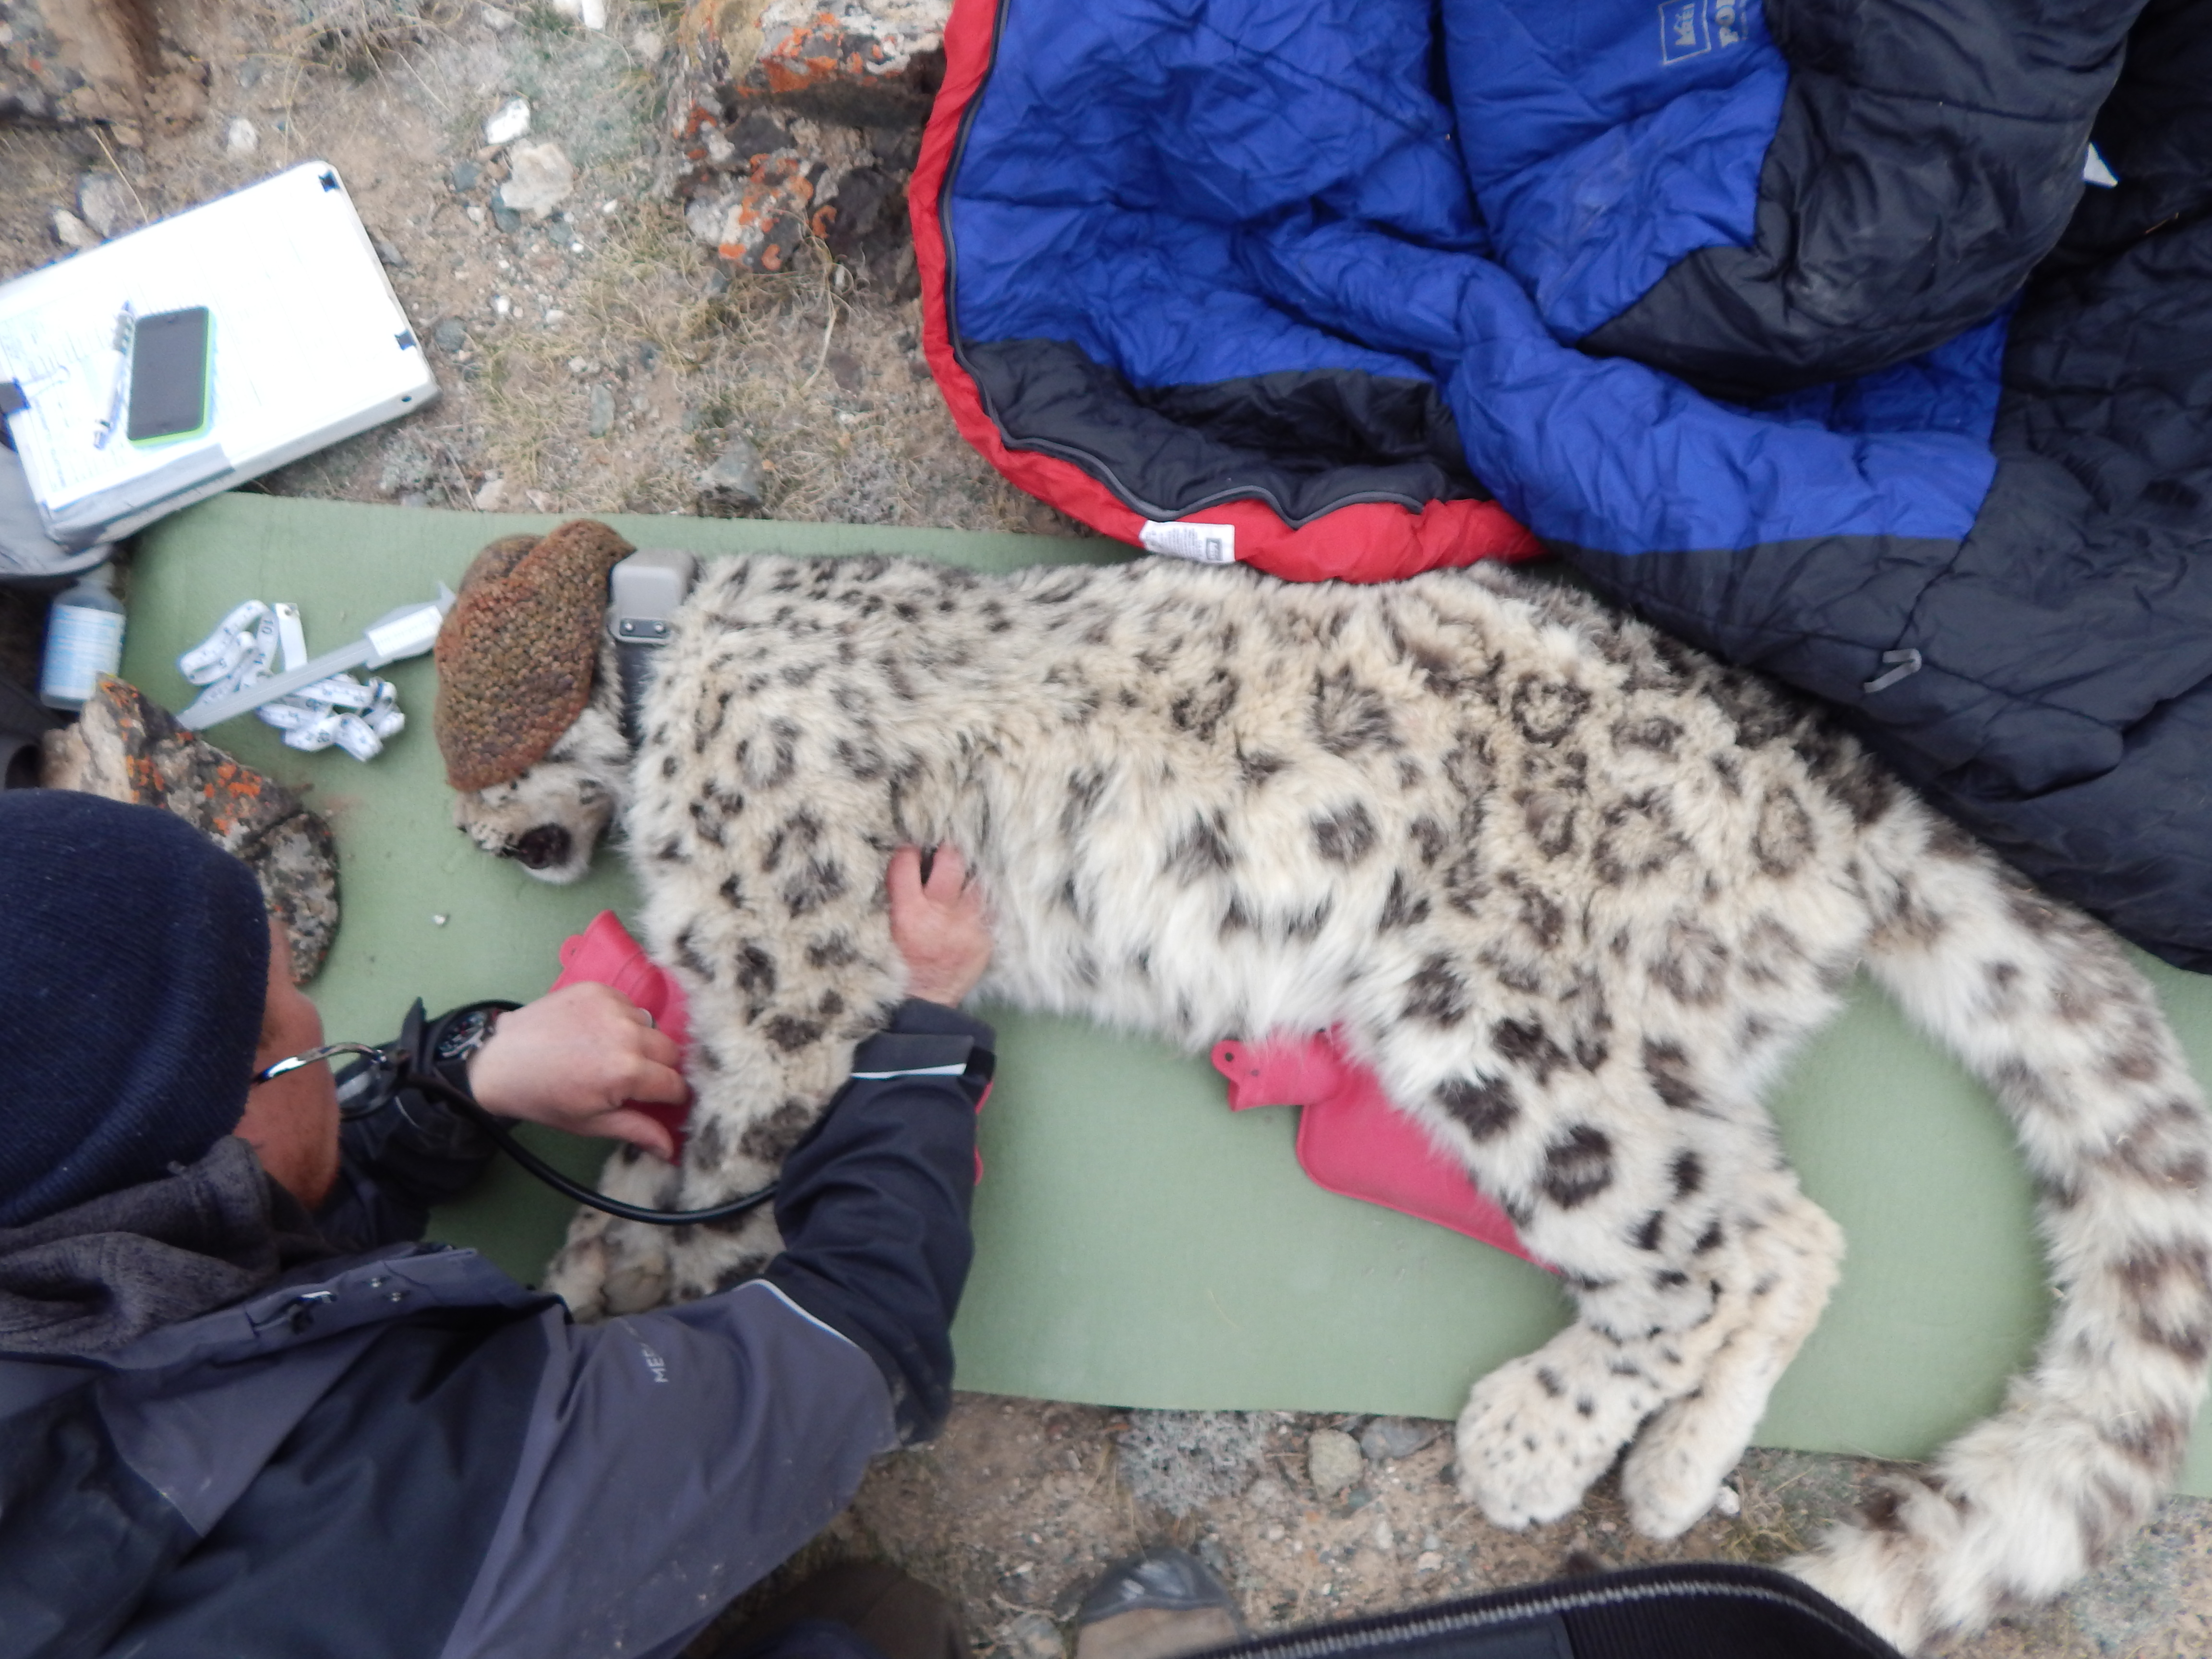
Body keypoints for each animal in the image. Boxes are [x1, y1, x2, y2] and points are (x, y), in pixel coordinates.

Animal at [449, 548, 2212, 1653]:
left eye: (472, 767)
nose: (486, 850)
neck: (665, 669)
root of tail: (1829, 778)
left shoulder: (788, 971)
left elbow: (742, 1158)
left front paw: (652, 1314)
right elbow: (666, 1147)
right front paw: (598, 1253)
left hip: (1504, 1019)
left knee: (1707, 1237)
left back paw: (1534, 1441)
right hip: (1666, 1037)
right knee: (1790, 1224)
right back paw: (1667, 1465)